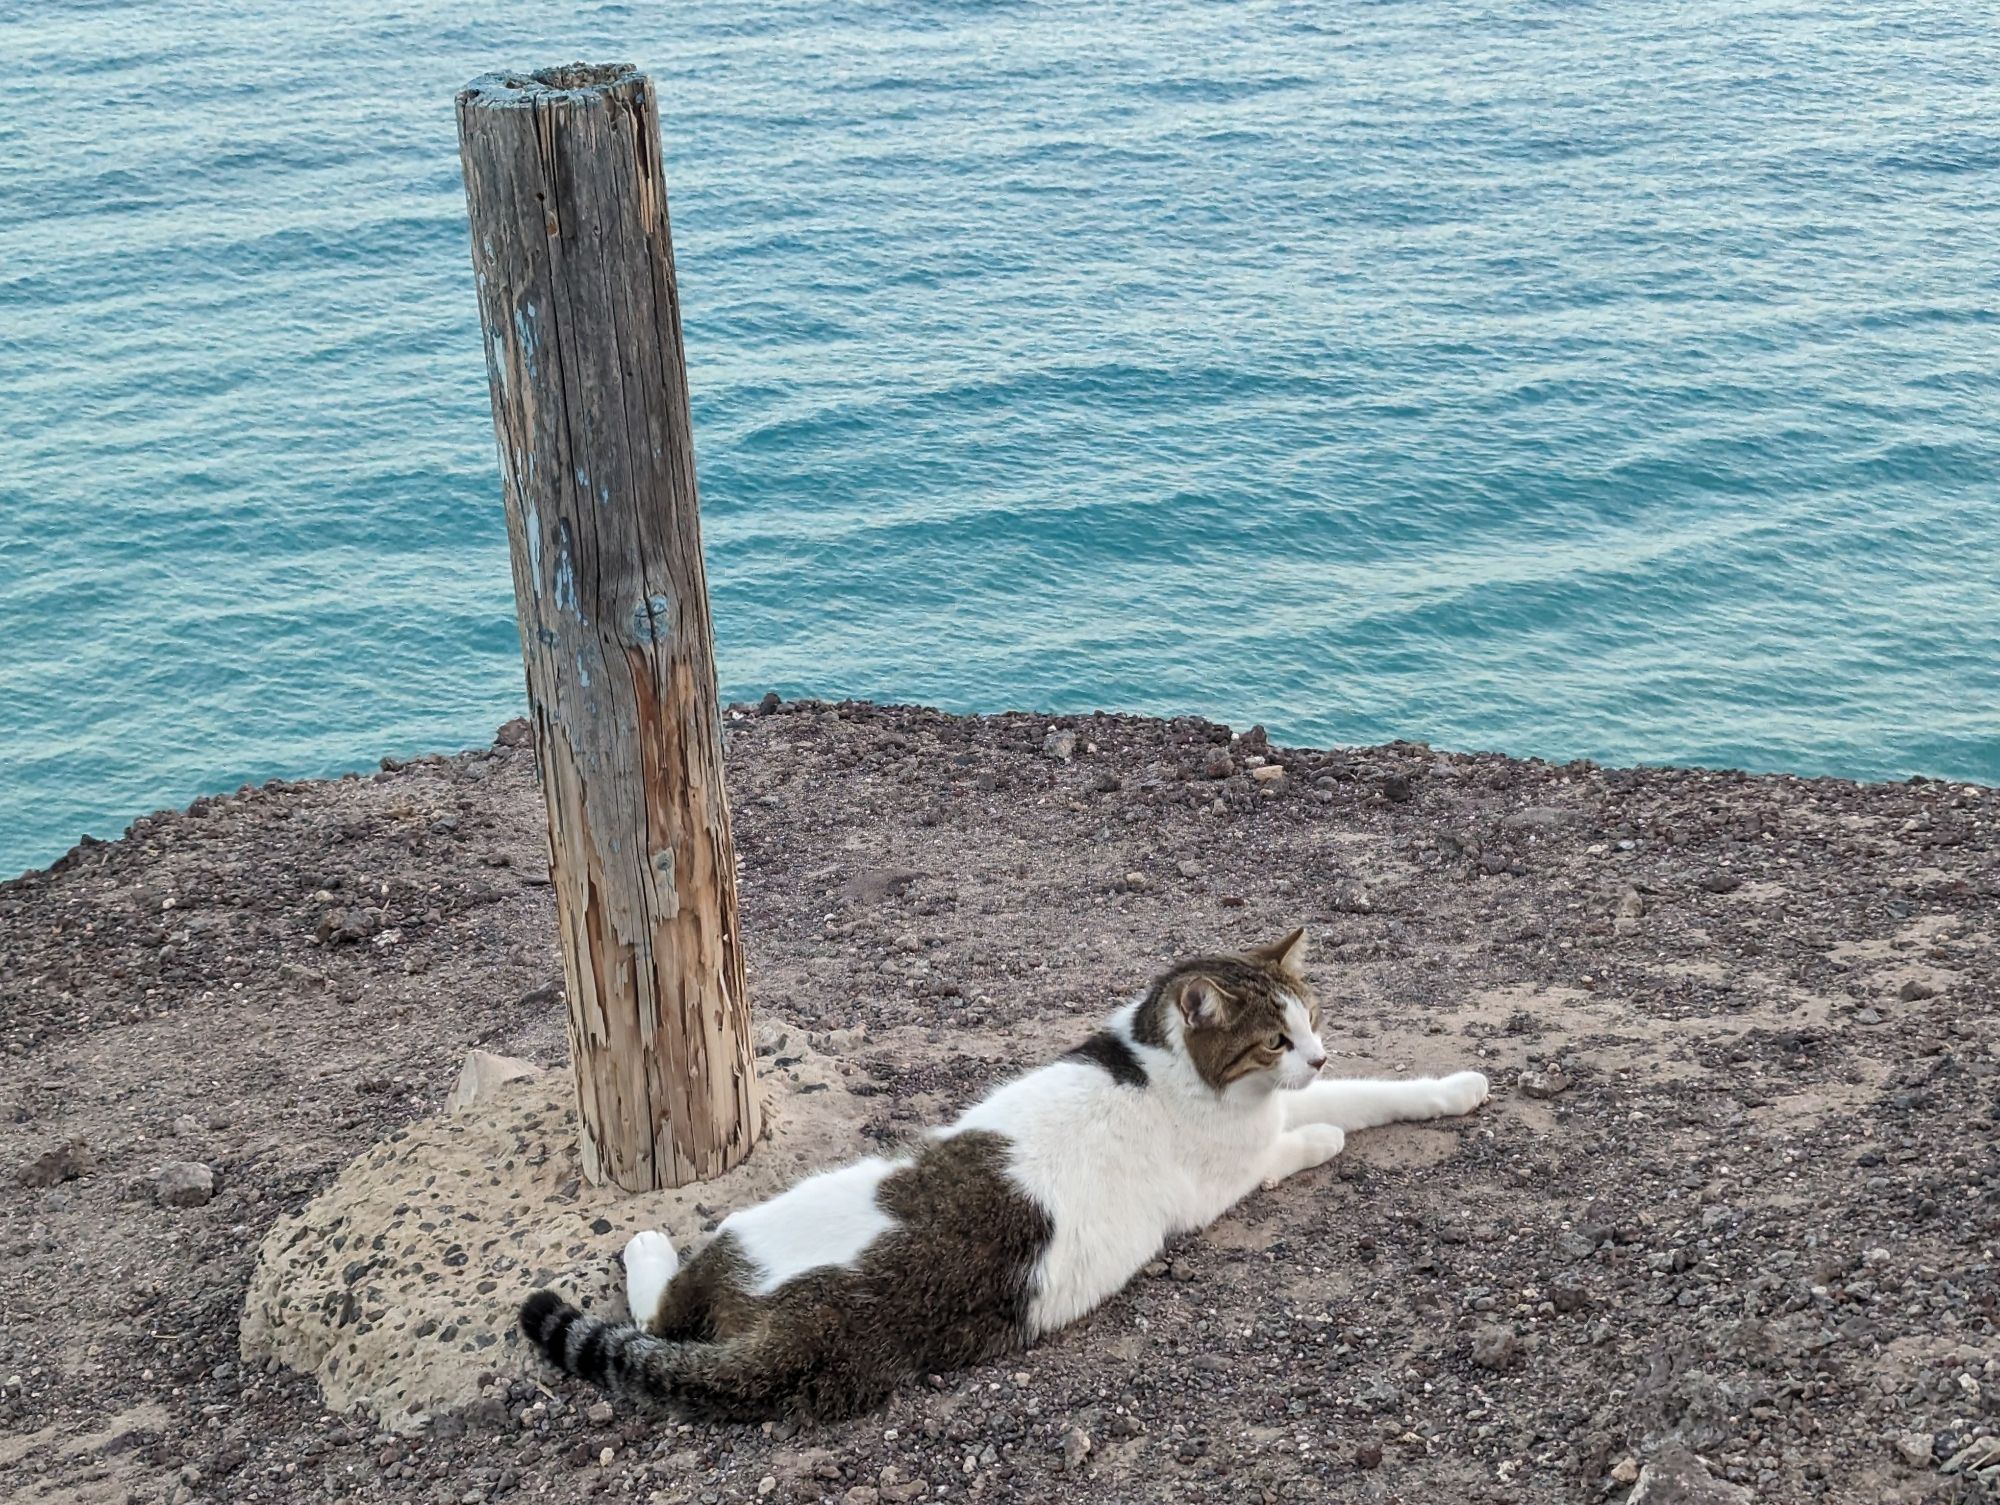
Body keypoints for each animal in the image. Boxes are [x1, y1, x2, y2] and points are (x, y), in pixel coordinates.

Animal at [524, 928, 1496, 1424]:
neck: (1159, 1062)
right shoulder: (1245, 1161)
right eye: (1277, 1038)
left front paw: (1449, 1087)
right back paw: (647, 1242)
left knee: (665, 1318)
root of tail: (788, 1328)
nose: (1319, 1056)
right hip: (761, 1220)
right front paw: (1336, 1126)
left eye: (1315, 1019)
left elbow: (1377, 1091)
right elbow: (1324, 1126)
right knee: (657, 1308)